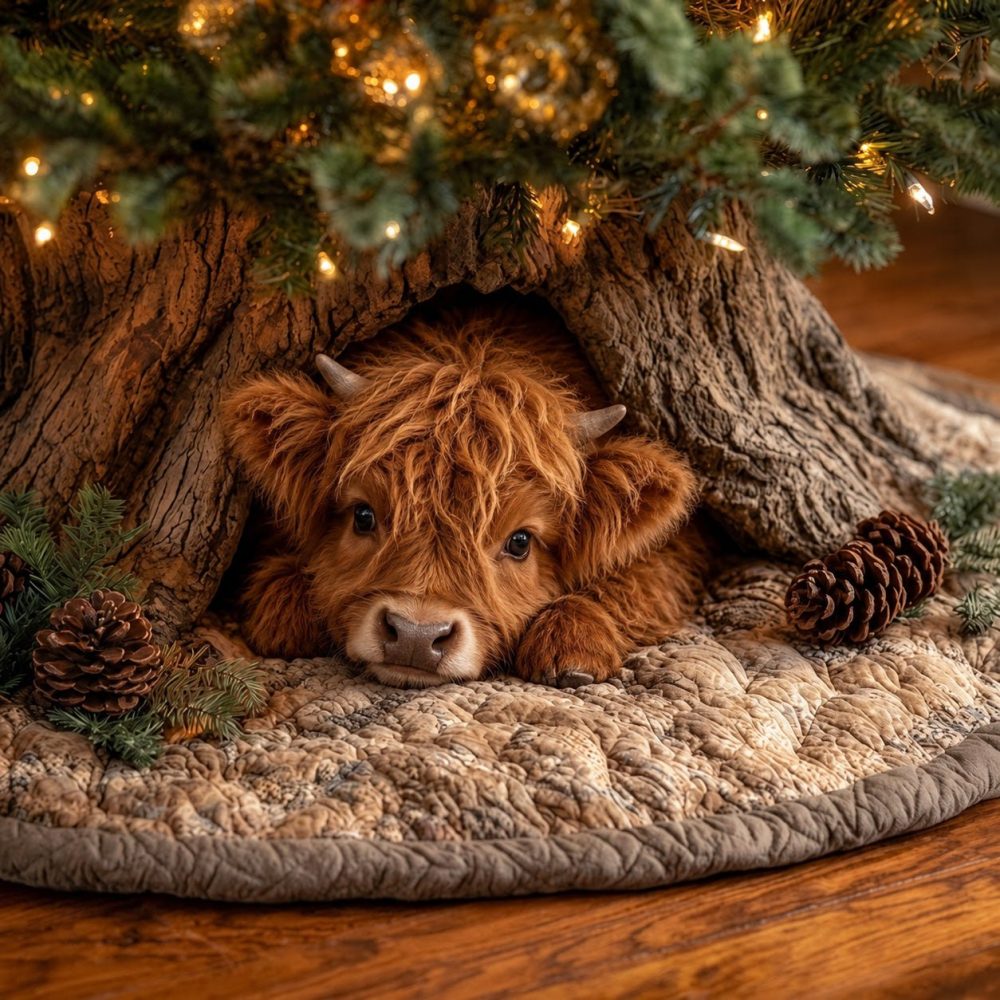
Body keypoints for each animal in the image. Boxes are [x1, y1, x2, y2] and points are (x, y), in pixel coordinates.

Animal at [223, 306, 703, 688]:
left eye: (520, 541)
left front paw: (573, 644)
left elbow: (641, 579)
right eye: (363, 515)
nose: (416, 637)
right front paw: (287, 613)